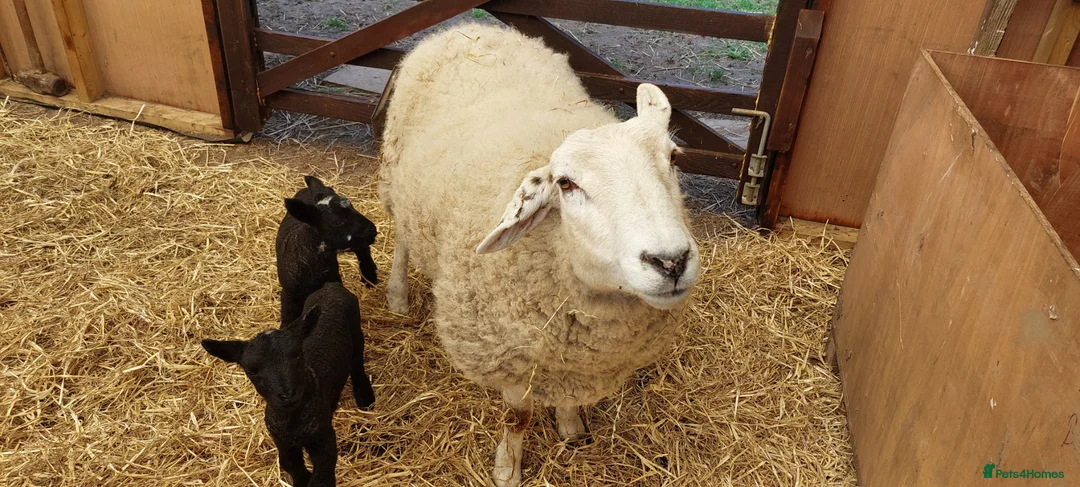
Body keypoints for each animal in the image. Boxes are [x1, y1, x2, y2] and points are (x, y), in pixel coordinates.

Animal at [201, 281, 375, 487]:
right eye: (252, 371)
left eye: (298, 355)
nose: (288, 395)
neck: (292, 422)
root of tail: (331, 286)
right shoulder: (283, 444)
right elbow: (291, 465)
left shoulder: (323, 438)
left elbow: (322, 475)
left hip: (356, 332)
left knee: (357, 363)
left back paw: (365, 396)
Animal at [378, 24, 701, 487]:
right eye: (565, 184)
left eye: (673, 158)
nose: (670, 261)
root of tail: (470, 27)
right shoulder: (506, 357)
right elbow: (518, 418)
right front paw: (507, 469)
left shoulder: (577, 365)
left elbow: (569, 400)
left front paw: (570, 426)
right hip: (395, 170)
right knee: (403, 236)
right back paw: (399, 297)